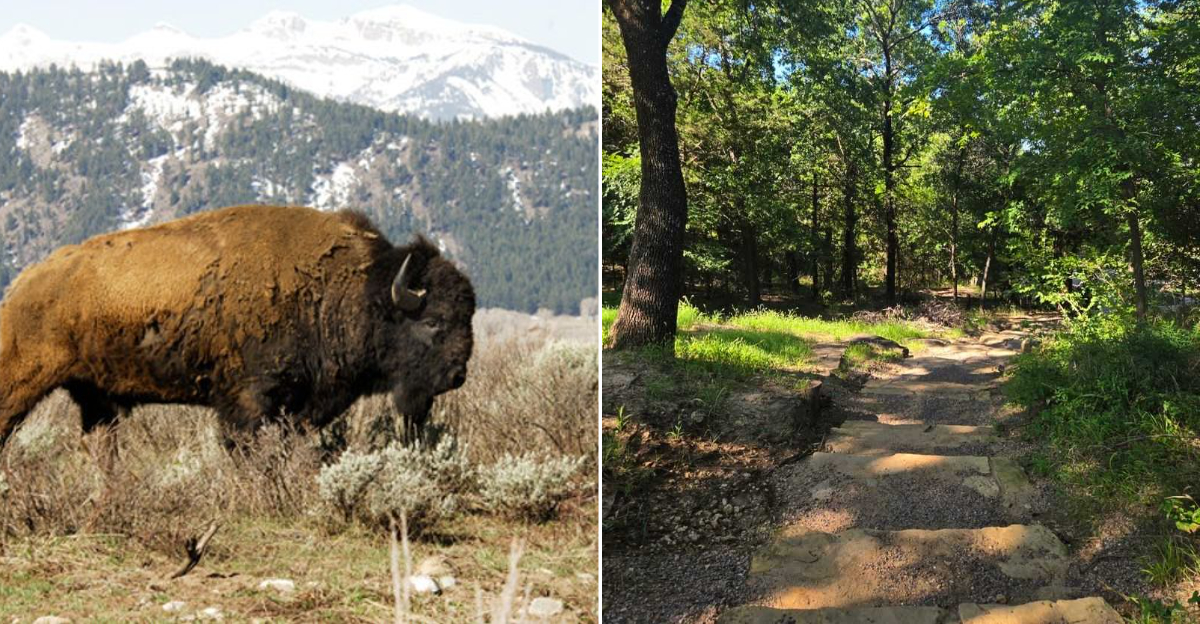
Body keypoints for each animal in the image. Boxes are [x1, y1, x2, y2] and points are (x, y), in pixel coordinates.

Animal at [0, 205, 475, 451]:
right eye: (433, 320)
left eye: (467, 317)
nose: (457, 376)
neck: (347, 288)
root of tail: (25, 284)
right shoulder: (249, 400)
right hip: (24, 381)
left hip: (98, 400)